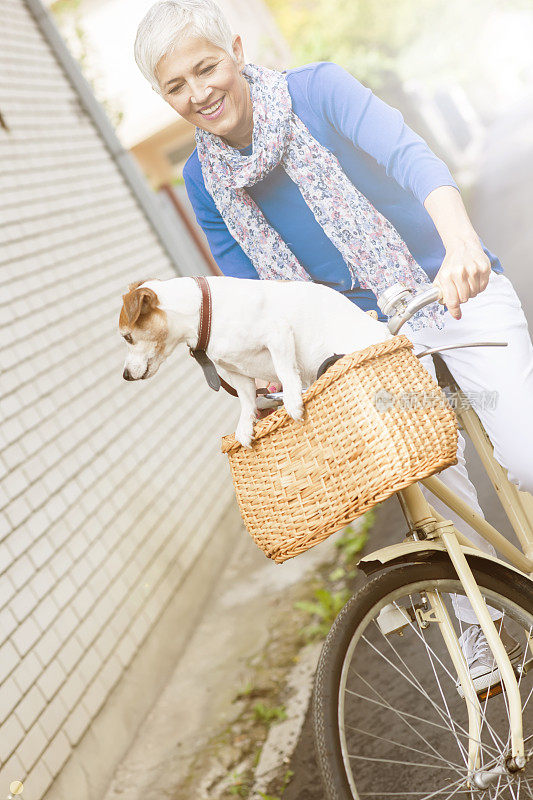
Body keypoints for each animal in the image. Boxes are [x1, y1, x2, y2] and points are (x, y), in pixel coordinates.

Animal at [119, 278, 390, 446]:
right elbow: (247, 400)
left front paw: (292, 402)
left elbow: (285, 372)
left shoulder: (277, 334)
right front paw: (246, 425)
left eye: (127, 337)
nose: (125, 376)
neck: (205, 314)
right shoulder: (236, 373)